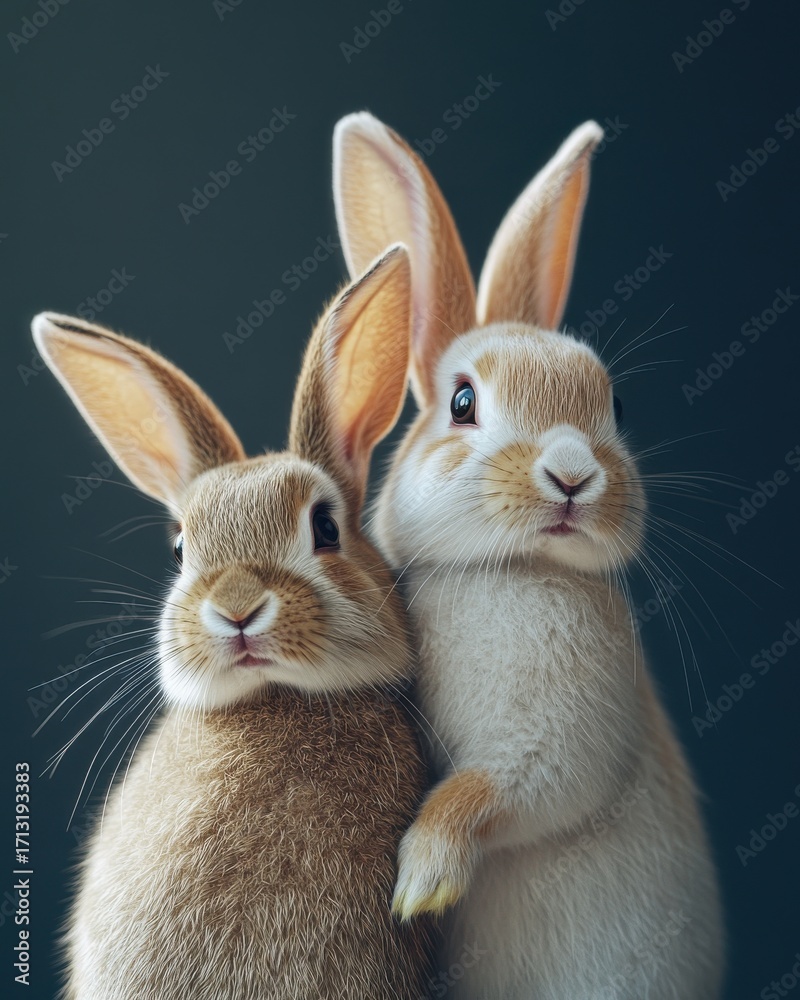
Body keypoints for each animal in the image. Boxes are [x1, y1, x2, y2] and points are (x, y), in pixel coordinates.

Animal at [331, 114, 724, 998]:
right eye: (462, 402)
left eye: (615, 403)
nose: (573, 474)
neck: (509, 573)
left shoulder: (551, 748)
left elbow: (483, 792)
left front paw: (421, 882)